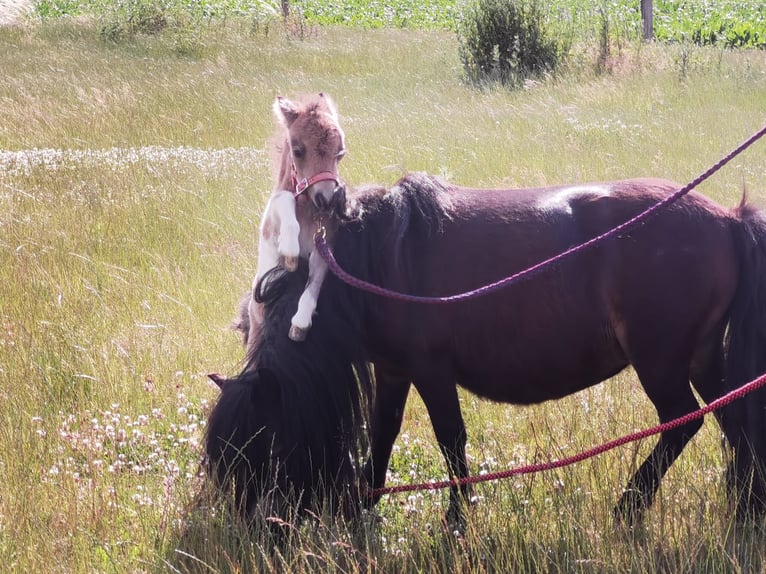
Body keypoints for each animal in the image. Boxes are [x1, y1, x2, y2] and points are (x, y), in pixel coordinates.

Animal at [208, 173, 766, 528]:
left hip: (661, 362)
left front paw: (457, 515)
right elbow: (385, 432)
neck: (373, 263)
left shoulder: (431, 370)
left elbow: (451, 440)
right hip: (701, 357)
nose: (255, 529)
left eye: (265, 447)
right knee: (734, 420)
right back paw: (747, 509)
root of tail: (729, 219)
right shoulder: (393, 370)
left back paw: (629, 507)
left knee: (683, 421)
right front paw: (365, 504)